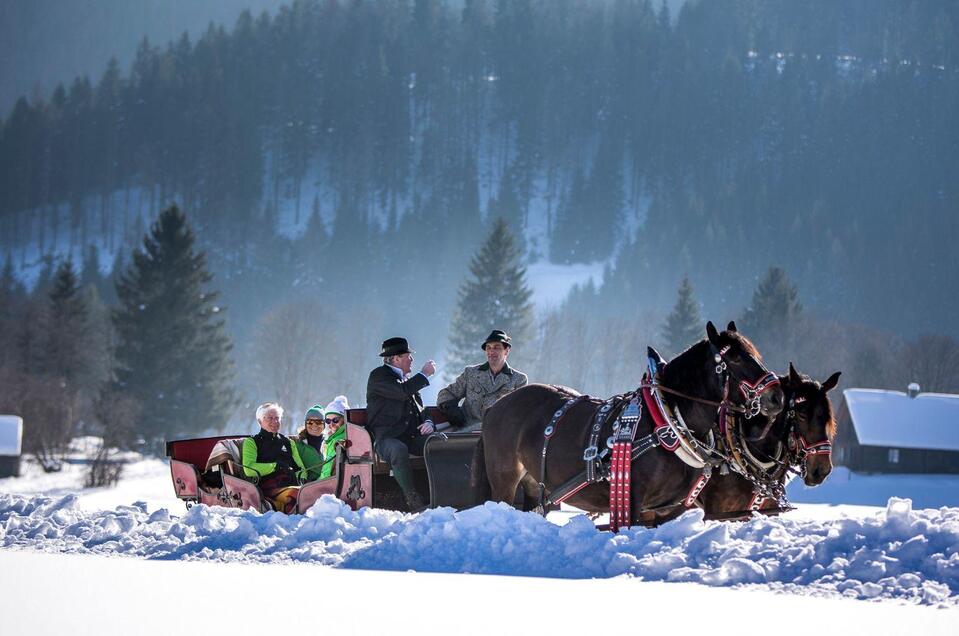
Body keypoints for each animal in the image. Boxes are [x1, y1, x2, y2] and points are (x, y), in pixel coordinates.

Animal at [472, 321, 786, 527]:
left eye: (756, 354)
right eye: (734, 358)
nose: (776, 396)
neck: (665, 422)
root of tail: (497, 407)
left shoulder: (664, 510)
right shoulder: (631, 501)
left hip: (533, 484)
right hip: (505, 478)